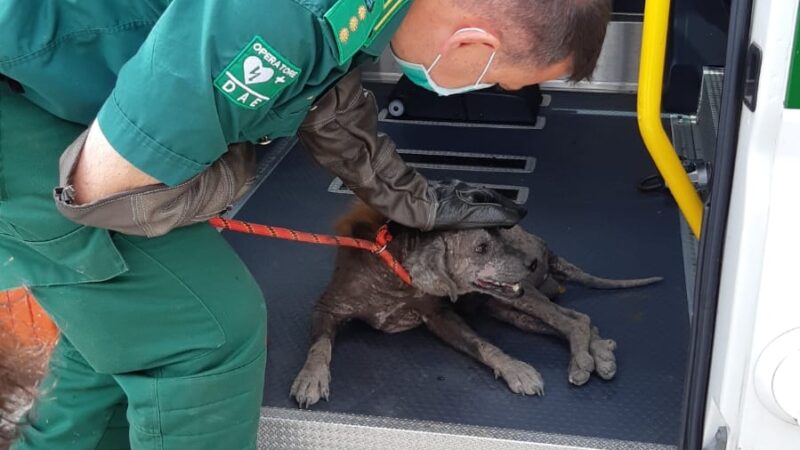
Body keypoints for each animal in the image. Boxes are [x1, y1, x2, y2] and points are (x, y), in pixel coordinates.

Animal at [290, 204, 660, 408]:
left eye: (499, 235)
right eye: (481, 247)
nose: (529, 262)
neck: (393, 270)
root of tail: (543, 245)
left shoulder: (440, 316)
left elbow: (485, 345)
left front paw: (515, 369)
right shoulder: (326, 309)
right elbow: (320, 347)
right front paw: (311, 377)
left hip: (518, 296)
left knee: (576, 319)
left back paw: (585, 360)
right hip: (507, 308)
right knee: (577, 320)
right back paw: (600, 355)